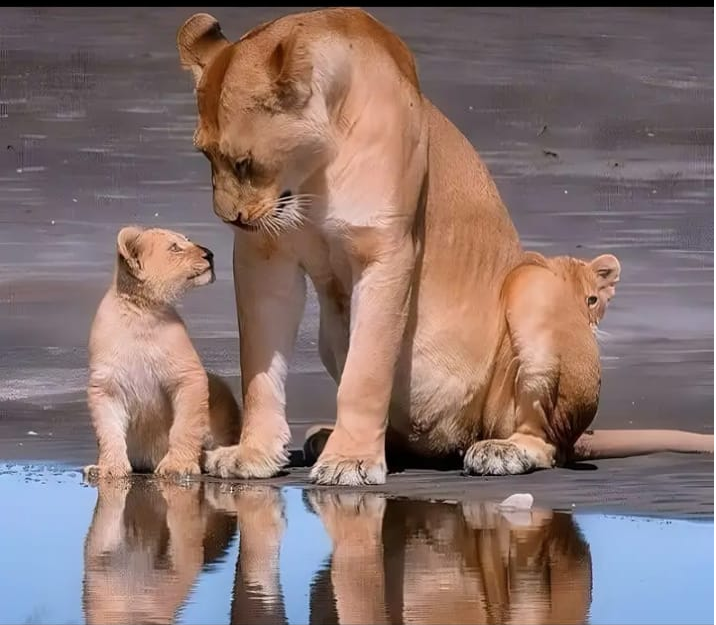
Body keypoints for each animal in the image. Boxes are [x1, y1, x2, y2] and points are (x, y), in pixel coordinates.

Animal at [84, 226, 241, 479]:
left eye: (188, 239)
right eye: (174, 247)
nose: (209, 254)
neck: (141, 312)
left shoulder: (188, 375)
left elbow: (185, 425)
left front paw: (177, 466)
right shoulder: (105, 385)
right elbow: (108, 430)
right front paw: (108, 468)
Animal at [176, 8, 713, 485]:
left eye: (244, 162)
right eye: (205, 156)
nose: (228, 218)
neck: (311, 174)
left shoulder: (387, 251)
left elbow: (366, 373)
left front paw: (350, 462)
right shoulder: (264, 256)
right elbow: (259, 368)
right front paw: (253, 454)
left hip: (534, 285)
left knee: (549, 444)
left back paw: (501, 451)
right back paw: (331, 437)